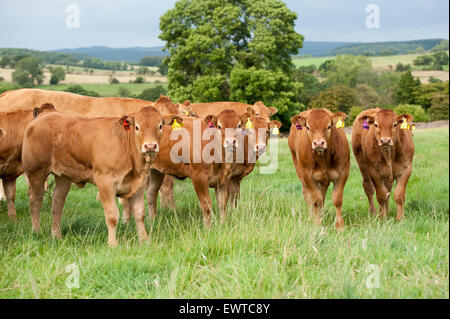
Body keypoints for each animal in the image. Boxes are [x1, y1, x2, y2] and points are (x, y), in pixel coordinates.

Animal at [22, 106, 181, 246]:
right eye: (137, 127)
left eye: (160, 126)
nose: (150, 146)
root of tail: (41, 118)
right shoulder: (106, 183)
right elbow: (112, 216)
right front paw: (113, 244)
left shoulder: (138, 185)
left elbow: (139, 214)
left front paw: (144, 241)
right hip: (36, 172)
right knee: (35, 199)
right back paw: (36, 231)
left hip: (64, 176)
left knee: (57, 202)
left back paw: (56, 235)